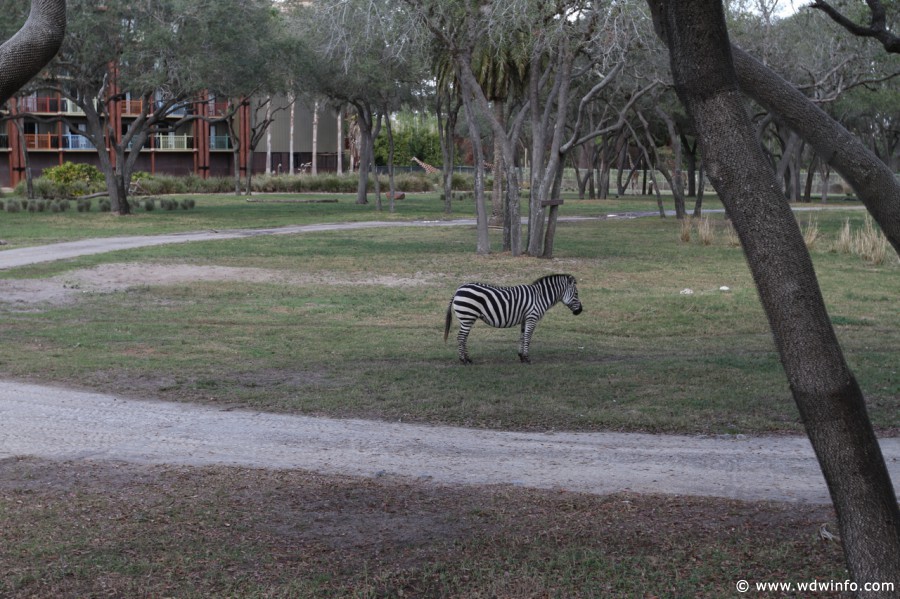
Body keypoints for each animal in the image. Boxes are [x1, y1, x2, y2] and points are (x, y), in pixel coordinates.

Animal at [442, 274, 584, 366]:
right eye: (576, 294)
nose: (580, 311)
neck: (540, 297)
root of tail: (458, 290)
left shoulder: (525, 319)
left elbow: (522, 336)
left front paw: (521, 357)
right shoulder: (532, 317)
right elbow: (528, 337)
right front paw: (527, 358)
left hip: (467, 318)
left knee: (464, 338)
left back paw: (468, 359)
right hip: (467, 317)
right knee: (461, 337)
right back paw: (463, 360)